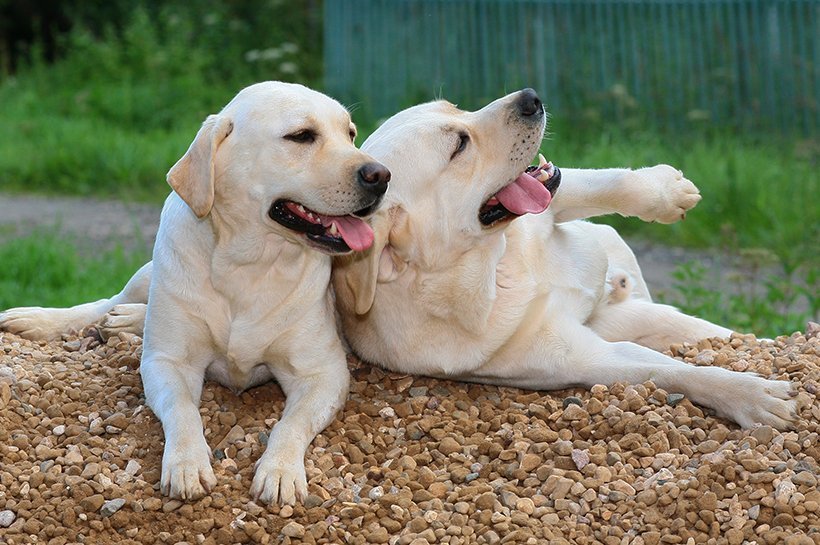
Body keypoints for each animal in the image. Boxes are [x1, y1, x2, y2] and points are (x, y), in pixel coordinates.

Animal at [0, 82, 390, 506]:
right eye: (302, 136)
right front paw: (186, 464)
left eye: (350, 134)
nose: (381, 174)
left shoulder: (322, 374)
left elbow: (290, 424)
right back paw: (44, 319)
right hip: (149, 273)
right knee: (107, 303)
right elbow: (183, 410)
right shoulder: (168, 362)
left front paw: (281, 470)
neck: (246, 263)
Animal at [330, 88, 796, 430]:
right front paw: (753, 396)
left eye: (458, 108)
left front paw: (664, 191)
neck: (493, 265)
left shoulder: (551, 204)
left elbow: (598, 182)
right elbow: (677, 372)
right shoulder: (588, 358)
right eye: (460, 145)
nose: (531, 97)